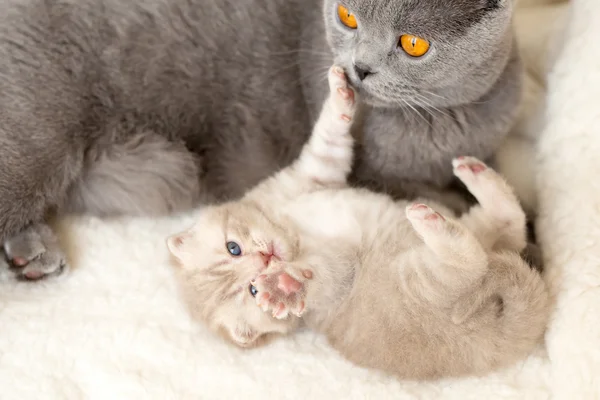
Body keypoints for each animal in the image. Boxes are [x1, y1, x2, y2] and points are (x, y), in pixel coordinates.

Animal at [0, 0, 520, 282]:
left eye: (412, 43)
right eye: (347, 17)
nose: (359, 68)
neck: (441, 117)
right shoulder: (373, 175)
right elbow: (432, 197)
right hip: (40, 132)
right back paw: (33, 253)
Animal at [166, 66, 552, 382]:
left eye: (233, 248)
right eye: (252, 292)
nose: (266, 261)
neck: (291, 230)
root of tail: (492, 343)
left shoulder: (314, 173)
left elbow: (329, 132)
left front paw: (340, 91)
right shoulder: (337, 277)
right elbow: (318, 277)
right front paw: (284, 287)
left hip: (480, 233)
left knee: (510, 225)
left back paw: (471, 172)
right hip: (425, 280)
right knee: (470, 263)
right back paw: (430, 219)